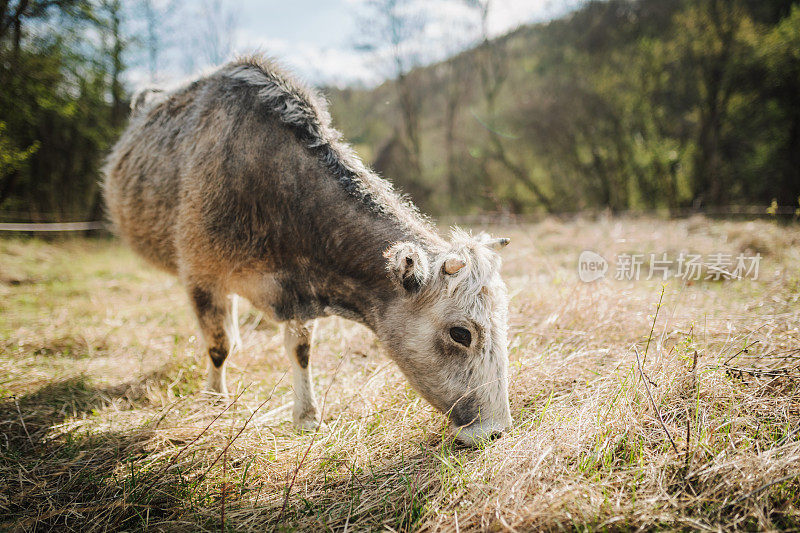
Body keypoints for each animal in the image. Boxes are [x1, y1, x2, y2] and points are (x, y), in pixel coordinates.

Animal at [103, 55, 512, 444]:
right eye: (461, 333)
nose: (495, 432)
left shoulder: (300, 285)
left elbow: (300, 351)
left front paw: (307, 417)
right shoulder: (201, 274)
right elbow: (218, 346)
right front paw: (214, 402)